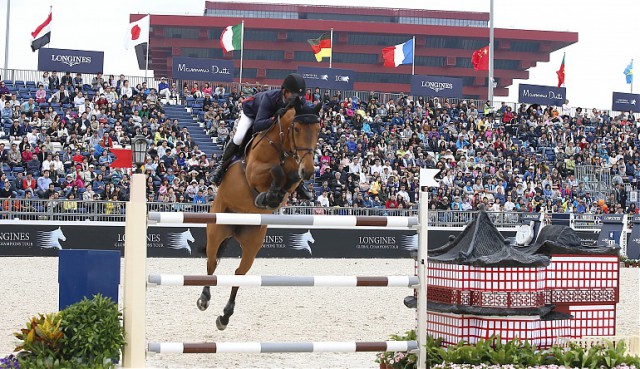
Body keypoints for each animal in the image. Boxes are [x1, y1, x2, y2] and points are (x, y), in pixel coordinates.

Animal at [198, 98, 322, 328]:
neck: (282, 146)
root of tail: (235, 228)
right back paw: (204, 299)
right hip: (217, 230)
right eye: (297, 129)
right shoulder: (254, 171)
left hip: (253, 242)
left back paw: (225, 316)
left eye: (318, 129)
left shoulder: (293, 176)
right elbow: (276, 171)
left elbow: (291, 178)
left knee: (239, 273)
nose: (309, 171)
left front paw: (274, 196)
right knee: (211, 262)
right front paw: (267, 196)